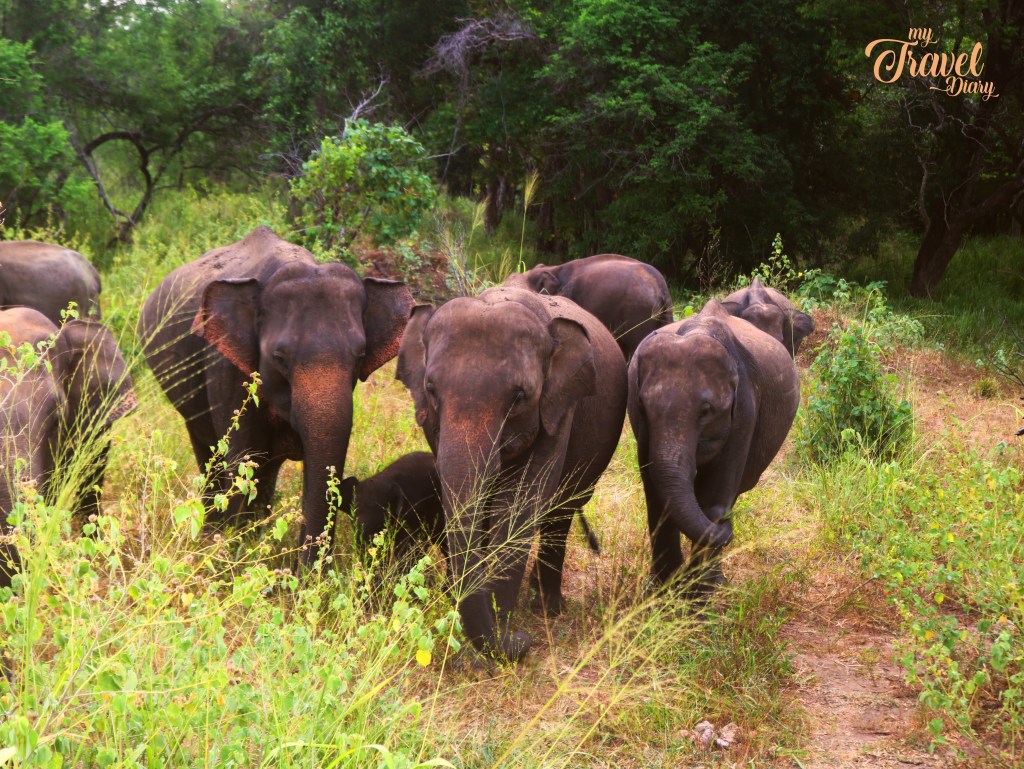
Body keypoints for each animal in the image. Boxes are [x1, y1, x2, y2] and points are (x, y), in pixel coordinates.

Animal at [139, 226, 414, 564]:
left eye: (360, 355)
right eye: (279, 357)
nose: (305, 570)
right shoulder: (225, 367)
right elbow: (242, 457)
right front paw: (231, 552)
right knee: (207, 446)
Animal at [397, 286, 627, 662]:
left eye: (520, 396)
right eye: (431, 389)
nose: (521, 639)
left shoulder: (559, 409)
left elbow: (519, 506)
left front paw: (501, 625)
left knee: (559, 513)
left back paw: (548, 607)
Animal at [627, 300, 800, 596]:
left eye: (706, 411)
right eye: (641, 405)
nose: (727, 526)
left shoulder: (744, 411)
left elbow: (714, 499)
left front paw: (697, 595)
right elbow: (656, 496)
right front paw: (663, 590)